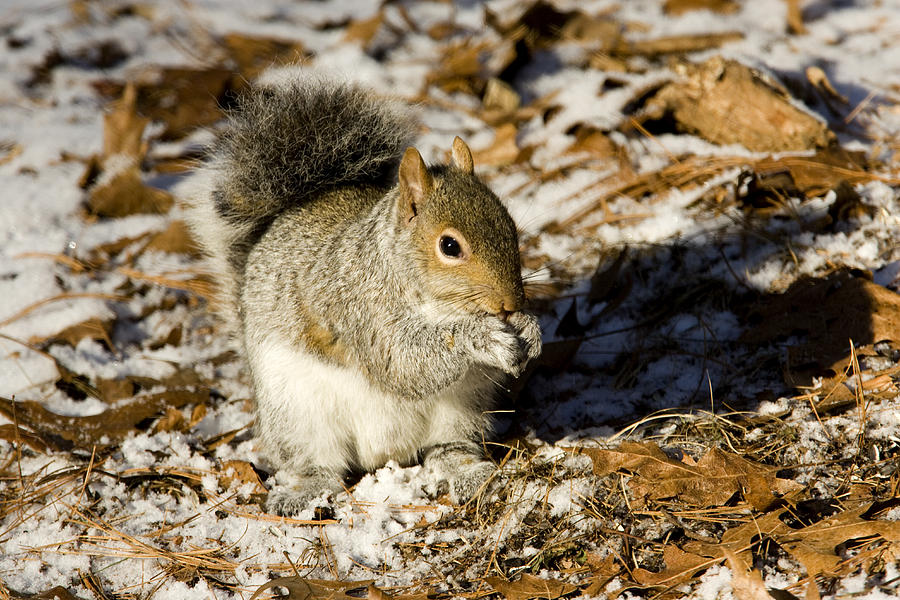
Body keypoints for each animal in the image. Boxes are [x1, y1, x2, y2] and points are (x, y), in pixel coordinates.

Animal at [179, 76, 536, 516]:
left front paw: (529, 329)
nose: (512, 304)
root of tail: (383, 454)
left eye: (511, 226)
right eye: (450, 246)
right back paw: (306, 490)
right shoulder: (357, 306)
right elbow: (402, 362)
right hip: (297, 415)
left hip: (463, 406)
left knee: (448, 446)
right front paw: (481, 337)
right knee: (314, 461)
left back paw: (467, 470)